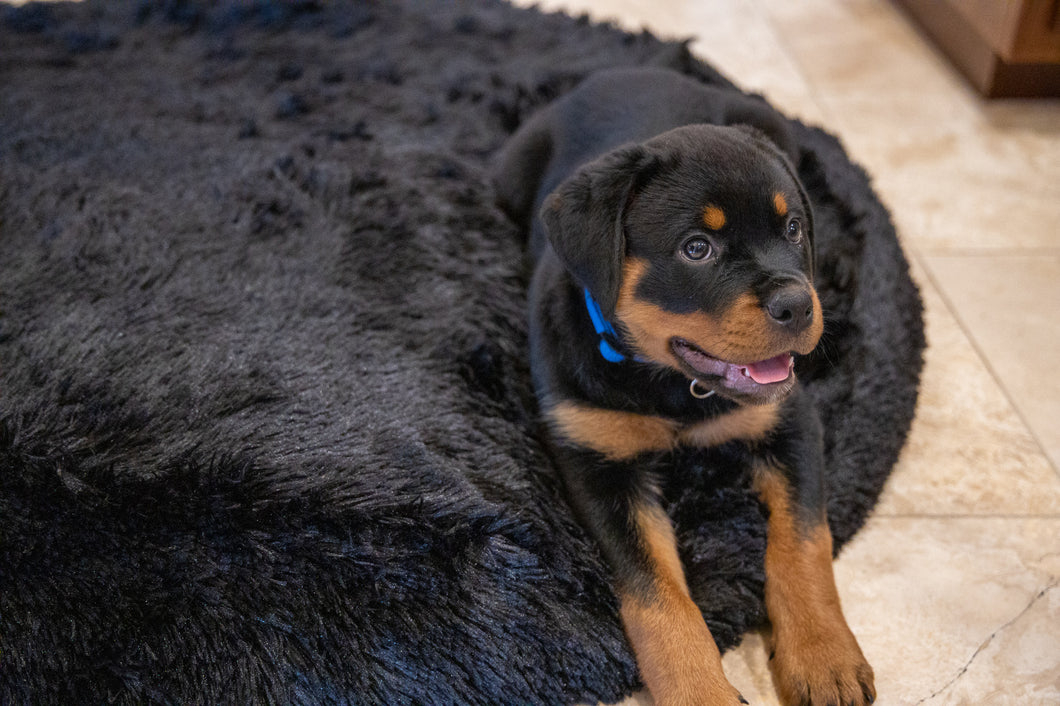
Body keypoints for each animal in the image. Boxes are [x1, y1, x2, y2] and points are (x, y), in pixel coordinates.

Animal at [491, 69, 873, 703]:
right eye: (697, 248)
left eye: (793, 228)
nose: (799, 304)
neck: (675, 388)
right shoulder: (598, 462)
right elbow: (657, 597)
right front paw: (702, 690)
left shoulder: (792, 420)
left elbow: (804, 543)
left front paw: (824, 657)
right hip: (510, 173)